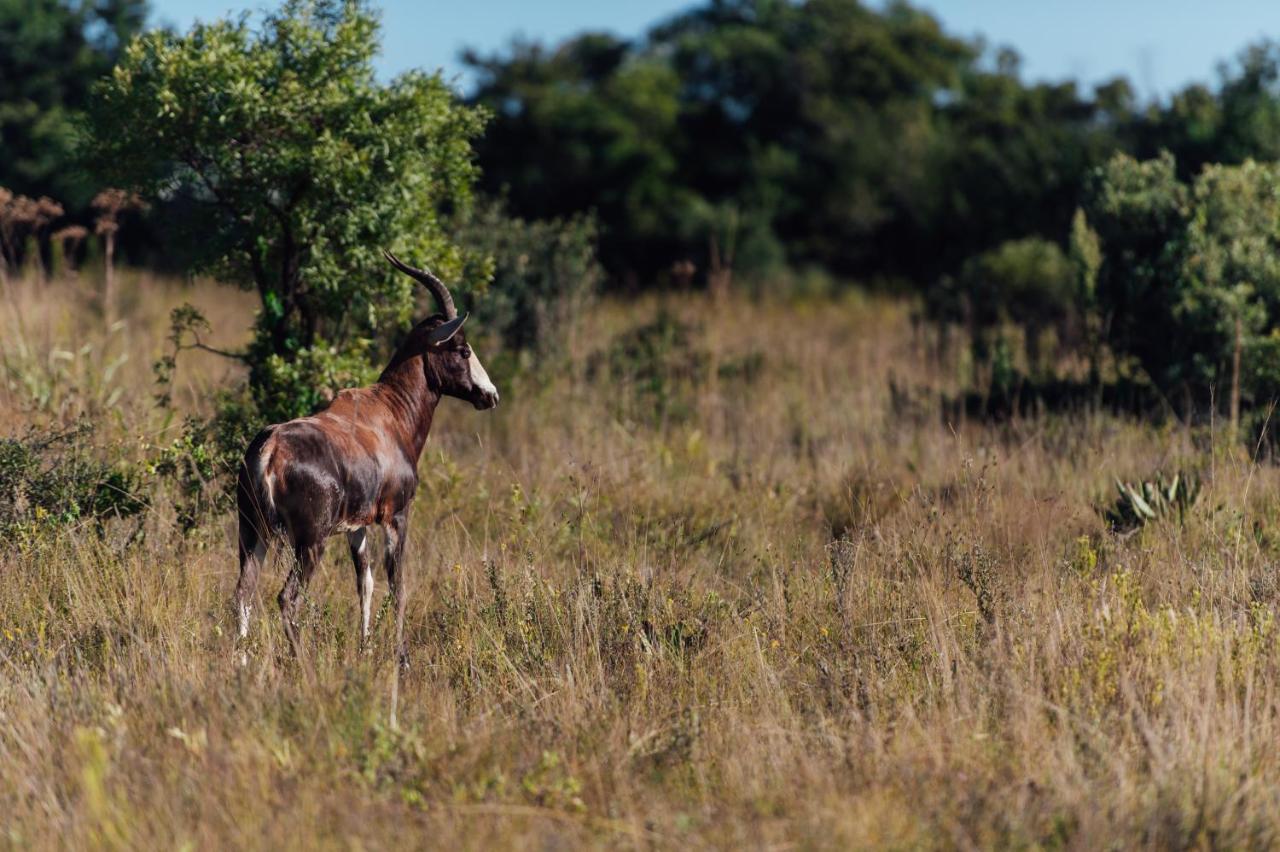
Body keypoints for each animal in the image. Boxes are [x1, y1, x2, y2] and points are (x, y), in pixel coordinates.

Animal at [232, 249, 496, 660]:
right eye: (463, 349)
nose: (490, 395)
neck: (387, 412)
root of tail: (270, 449)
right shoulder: (397, 517)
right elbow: (398, 584)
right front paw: (401, 657)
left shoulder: (356, 526)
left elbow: (366, 583)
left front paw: (366, 647)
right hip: (310, 542)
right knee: (287, 598)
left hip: (251, 531)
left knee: (244, 593)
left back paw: (240, 662)